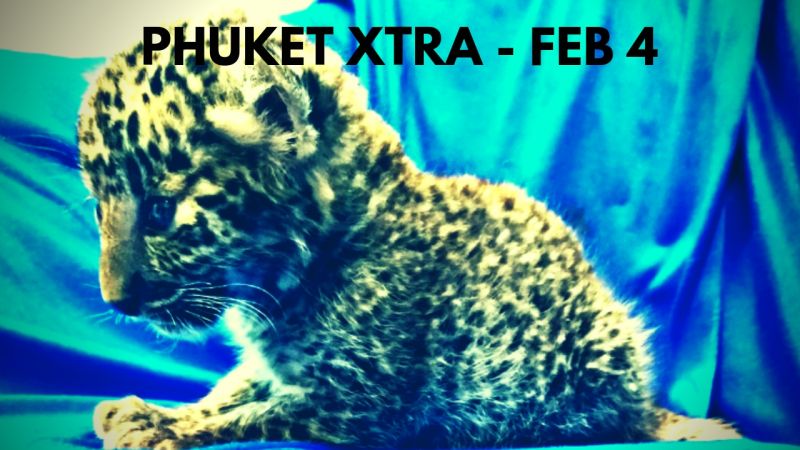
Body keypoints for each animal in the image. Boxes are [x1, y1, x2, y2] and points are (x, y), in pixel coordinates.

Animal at [76, 12, 741, 449]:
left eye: (160, 210)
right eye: (98, 206)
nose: (116, 300)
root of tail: (641, 401)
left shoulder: (362, 403)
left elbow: (259, 414)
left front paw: (161, 425)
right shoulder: (279, 367)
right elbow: (236, 386)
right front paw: (159, 408)